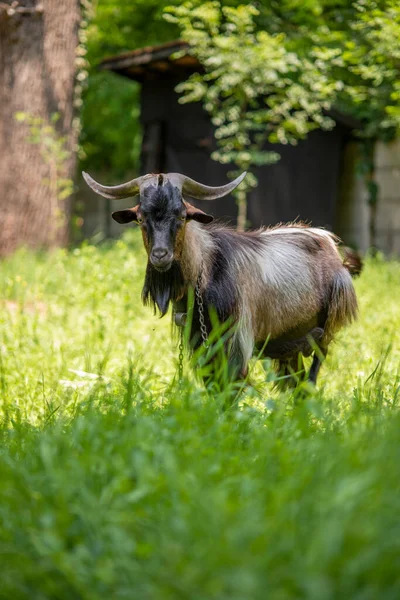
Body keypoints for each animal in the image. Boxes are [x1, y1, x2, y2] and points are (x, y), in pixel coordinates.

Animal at [83, 172, 360, 390]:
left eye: (181, 216)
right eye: (141, 218)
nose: (161, 255)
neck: (205, 272)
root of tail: (332, 248)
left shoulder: (236, 341)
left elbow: (231, 388)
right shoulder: (199, 341)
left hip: (326, 331)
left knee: (311, 377)